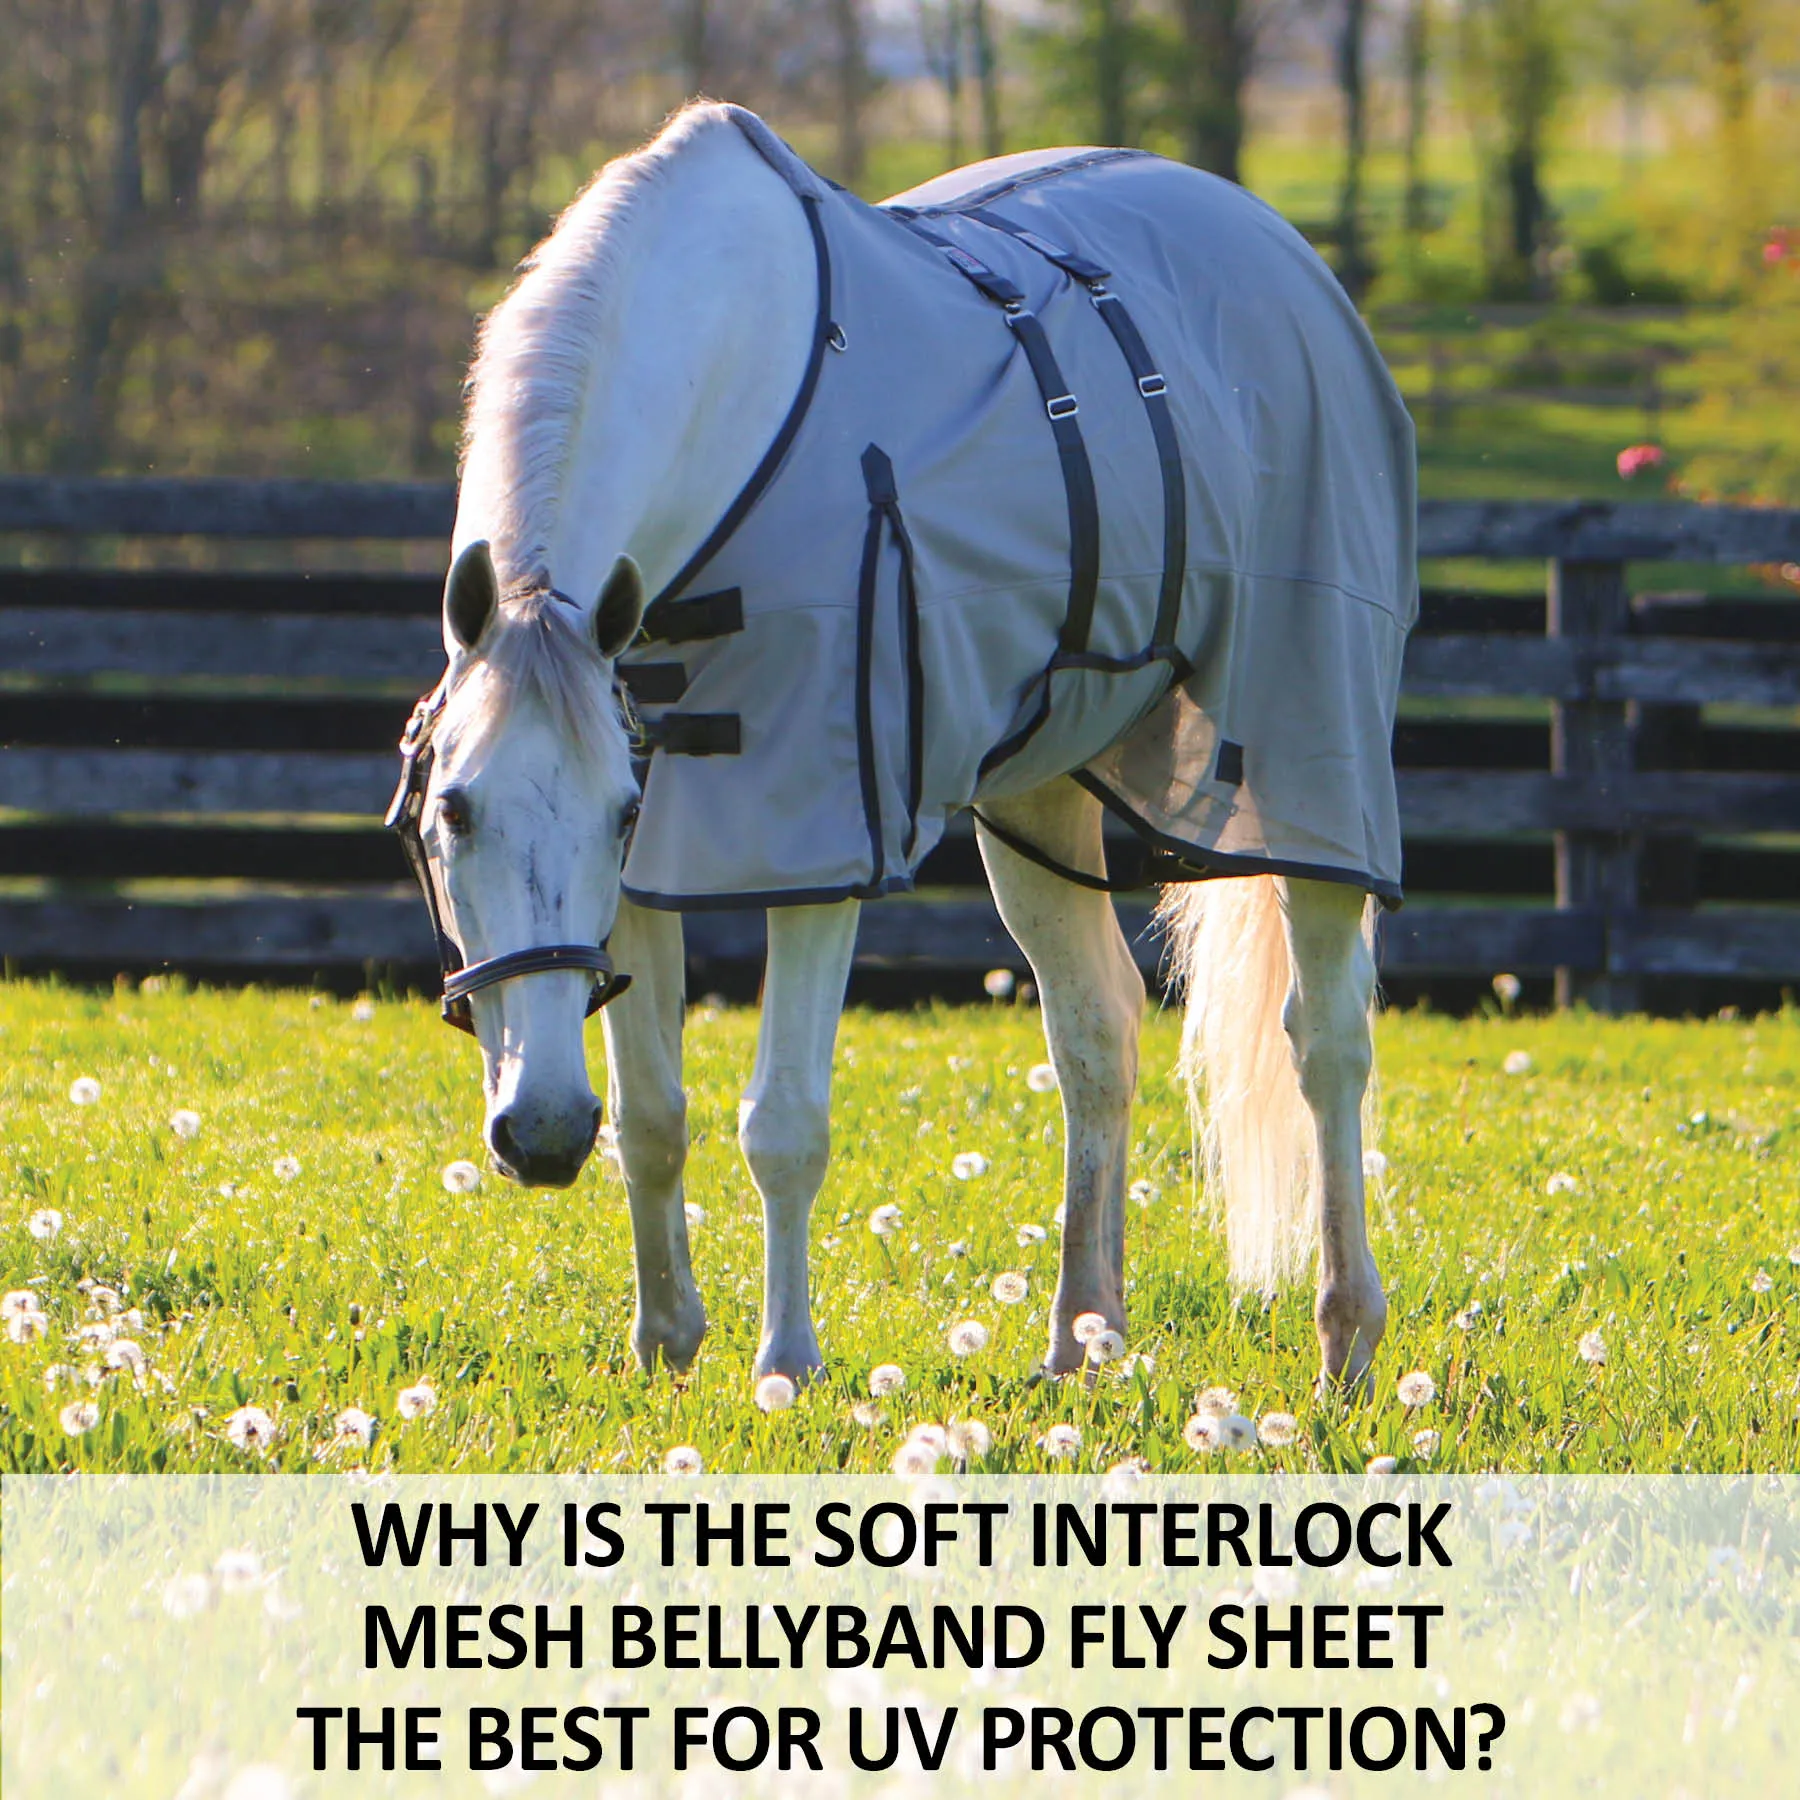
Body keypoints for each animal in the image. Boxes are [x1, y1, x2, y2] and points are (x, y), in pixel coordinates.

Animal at [389, 102, 1413, 1393]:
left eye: (615, 812)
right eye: (454, 810)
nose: (542, 1135)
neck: (732, 407)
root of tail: (1285, 255)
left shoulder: (820, 827)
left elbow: (781, 1121)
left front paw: (785, 1368)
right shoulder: (653, 859)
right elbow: (657, 1114)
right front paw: (665, 1348)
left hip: (1308, 753)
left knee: (1327, 1045)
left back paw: (1346, 1345)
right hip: (1037, 796)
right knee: (1096, 1032)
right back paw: (1083, 1343)